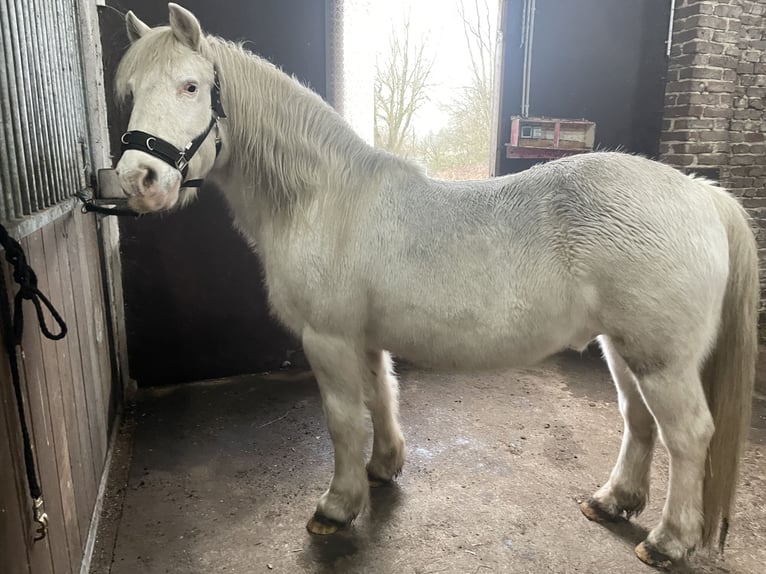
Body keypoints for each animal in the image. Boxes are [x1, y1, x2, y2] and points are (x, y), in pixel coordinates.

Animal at [114, 4, 758, 569]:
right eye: (131, 91)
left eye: (191, 86)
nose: (138, 180)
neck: (323, 199)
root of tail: (701, 192)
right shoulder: (363, 337)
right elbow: (381, 397)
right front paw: (383, 469)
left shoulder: (328, 338)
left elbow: (343, 419)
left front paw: (337, 506)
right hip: (624, 349)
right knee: (639, 419)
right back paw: (614, 501)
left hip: (662, 360)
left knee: (689, 436)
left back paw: (669, 541)